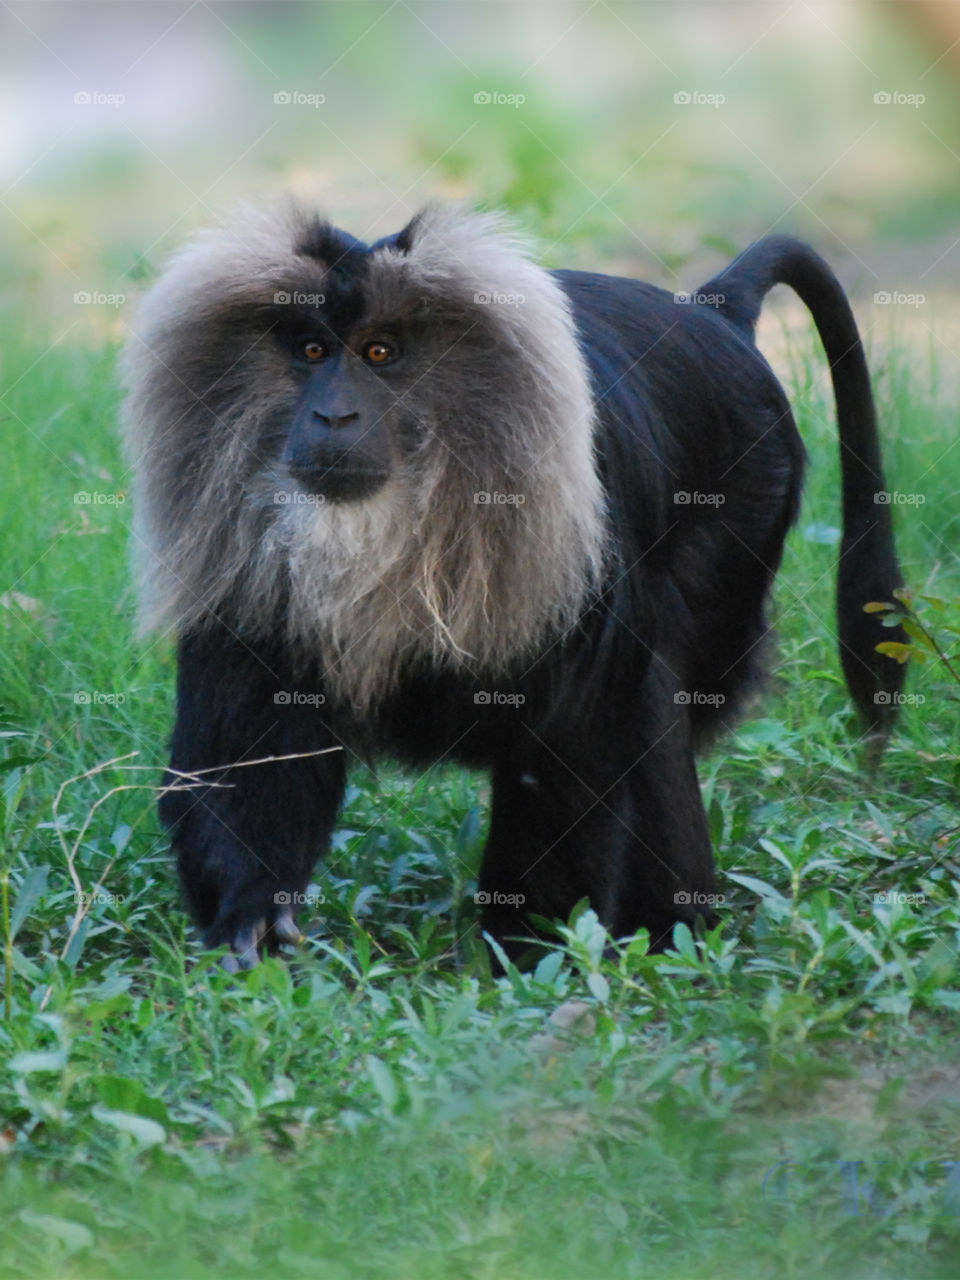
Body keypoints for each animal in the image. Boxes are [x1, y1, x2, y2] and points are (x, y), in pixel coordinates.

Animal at [120, 199, 911, 962]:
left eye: (380, 352)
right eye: (311, 350)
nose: (331, 413)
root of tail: (714, 314)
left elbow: (570, 752)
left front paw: (528, 954)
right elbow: (250, 749)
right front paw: (249, 921)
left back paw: (667, 935)